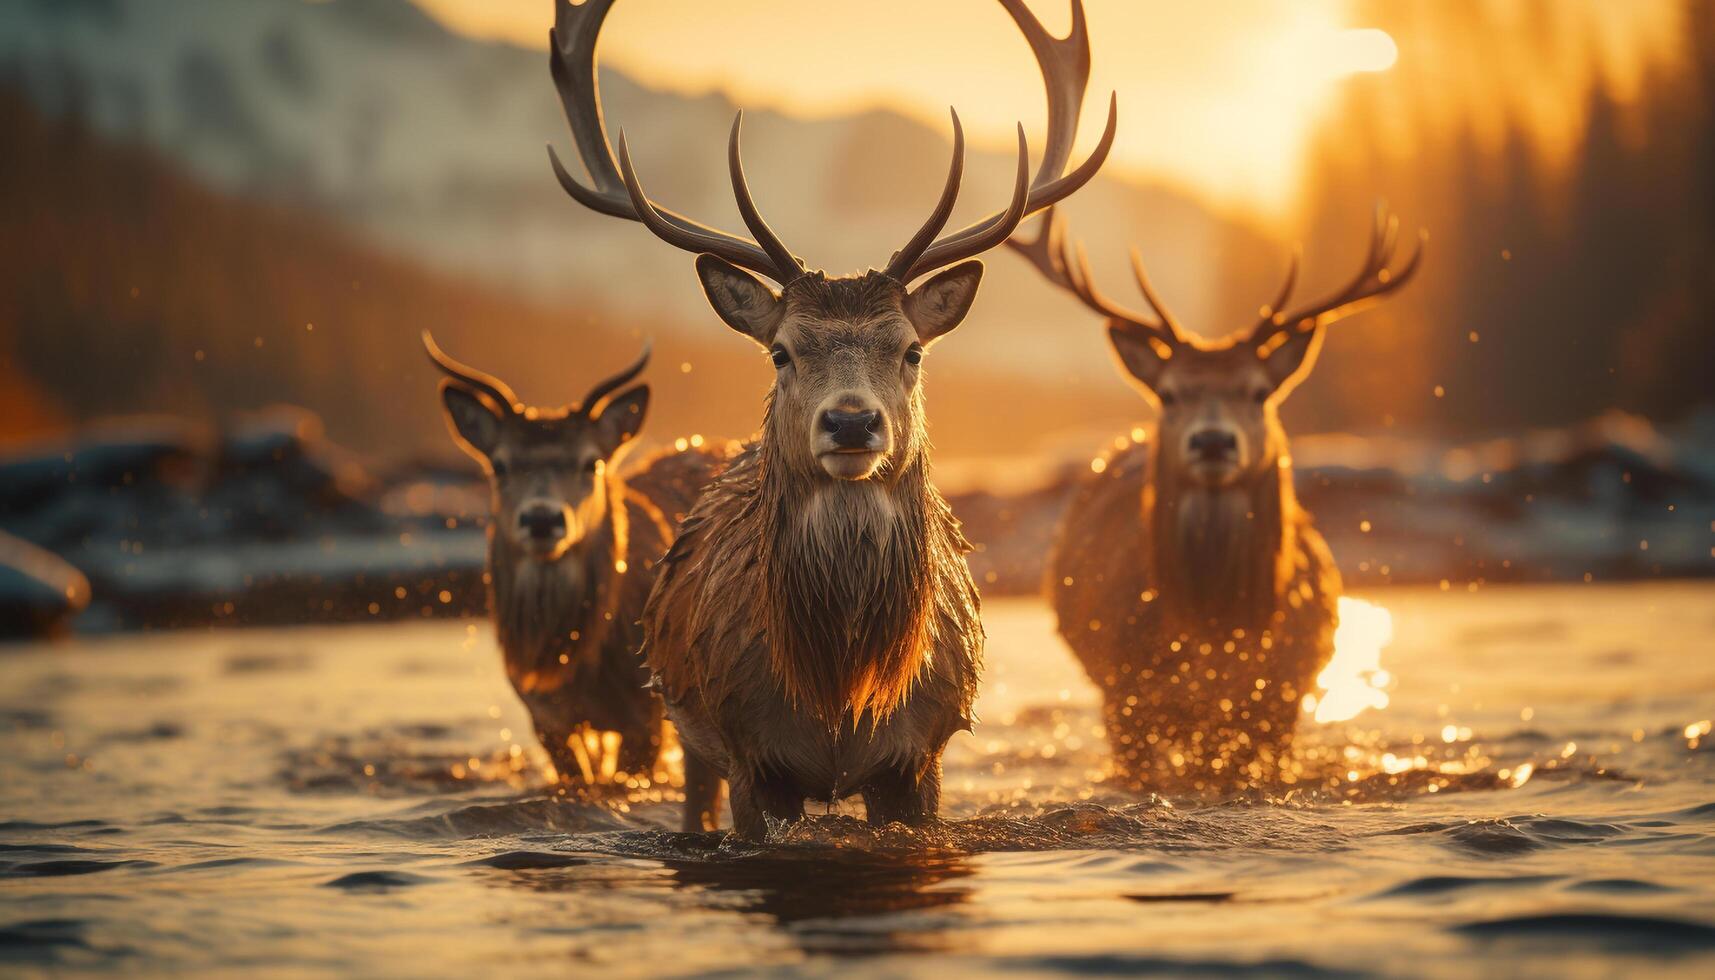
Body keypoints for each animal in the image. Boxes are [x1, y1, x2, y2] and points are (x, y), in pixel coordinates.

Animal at [541, 0, 1118, 837]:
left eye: (911, 349)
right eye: (781, 351)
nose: (850, 424)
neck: (839, 693)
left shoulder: (922, 753)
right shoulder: (749, 755)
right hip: (684, 727)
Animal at [1008, 209, 1426, 796]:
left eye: (1258, 391)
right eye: (1168, 392)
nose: (1211, 441)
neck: (1213, 630)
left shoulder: (1278, 701)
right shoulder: (1125, 694)